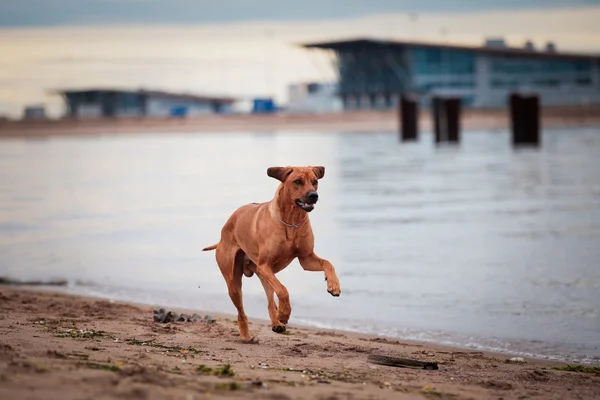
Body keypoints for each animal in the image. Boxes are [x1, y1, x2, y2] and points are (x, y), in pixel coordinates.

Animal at [204, 165, 340, 340]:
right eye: (298, 181)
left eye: (315, 181)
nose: (313, 195)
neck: (292, 220)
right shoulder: (265, 265)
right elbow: (283, 290)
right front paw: (284, 313)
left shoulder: (306, 258)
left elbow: (328, 263)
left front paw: (334, 285)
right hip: (235, 281)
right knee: (241, 311)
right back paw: (247, 335)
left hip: (263, 275)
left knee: (270, 301)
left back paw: (276, 323)